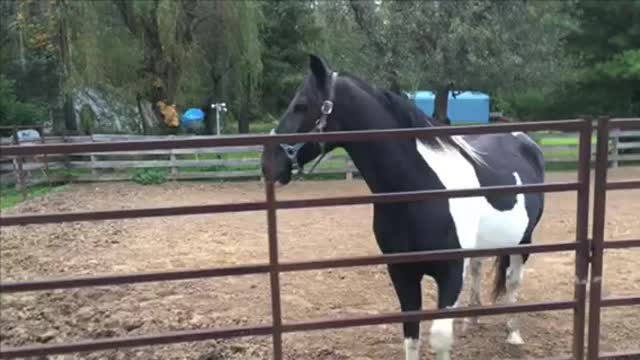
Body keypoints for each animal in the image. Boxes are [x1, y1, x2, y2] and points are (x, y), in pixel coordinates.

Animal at [260, 54, 544, 358]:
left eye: (301, 105)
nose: (267, 164)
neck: (419, 189)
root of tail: (525, 140)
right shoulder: (402, 273)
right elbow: (411, 335)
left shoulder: (451, 273)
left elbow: (440, 338)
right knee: (479, 269)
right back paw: (472, 319)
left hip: (523, 242)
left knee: (513, 280)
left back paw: (513, 332)